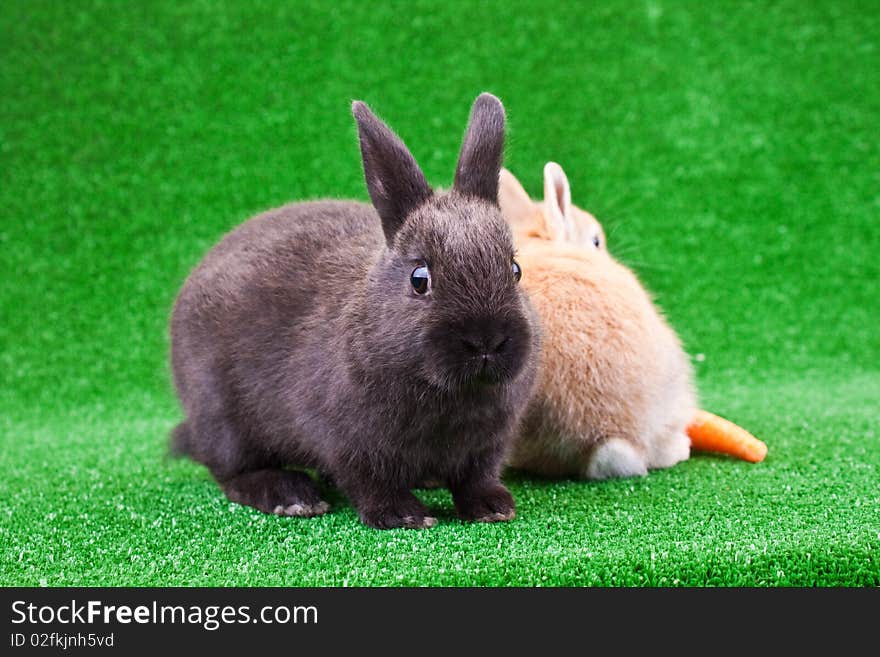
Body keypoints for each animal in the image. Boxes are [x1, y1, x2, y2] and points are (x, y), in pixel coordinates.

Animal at [165, 93, 536, 528]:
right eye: (419, 278)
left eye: (515, 269)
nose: (487, 340)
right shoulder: (346, 439)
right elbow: (368, 480)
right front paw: (404, 515)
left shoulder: (488, 444)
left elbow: (475, 477)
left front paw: (494, 507)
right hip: (222, 418)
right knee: (233, 473)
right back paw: (291, 495)